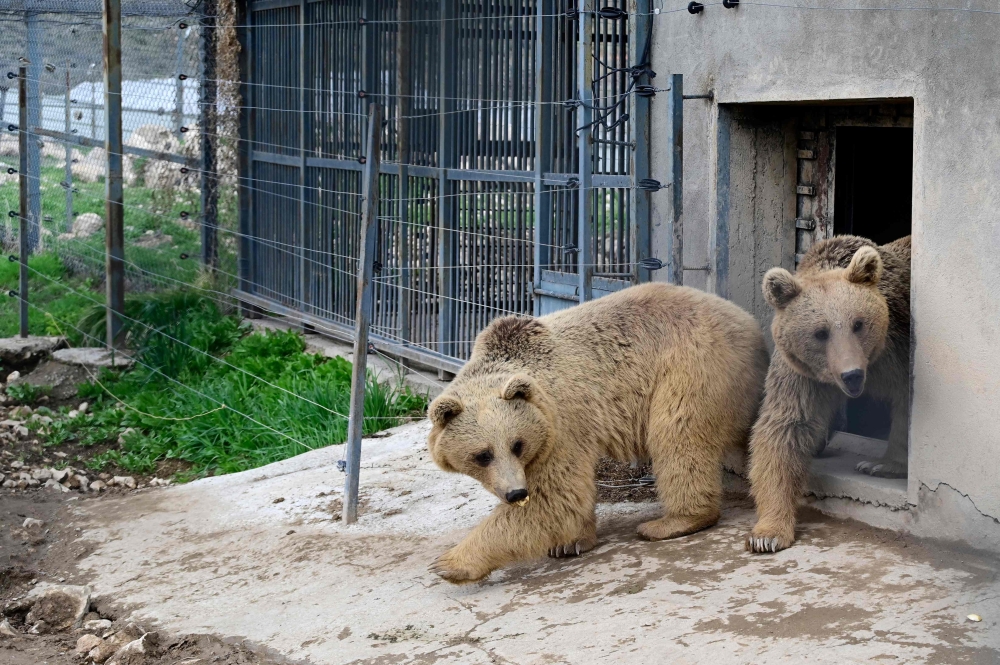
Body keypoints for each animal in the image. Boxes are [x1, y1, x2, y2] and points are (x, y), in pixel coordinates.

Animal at [426, 282, 770, 583]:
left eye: (517, 444)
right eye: (482, 455)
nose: (516, 493)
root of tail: (750, 324)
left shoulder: (562, 421)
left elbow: (555, 496)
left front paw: (448, 562)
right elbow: (568, 497)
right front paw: (571, 541)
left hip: (693, 366)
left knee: (677, 437)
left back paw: (671, 522)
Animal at [745, 234, 911, 554]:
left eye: (858, 323)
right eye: (820, 333)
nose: (852, 374)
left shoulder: (898, 347)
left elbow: (908, 408)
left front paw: (881, 464)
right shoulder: (801, 373)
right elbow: (785, 429)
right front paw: (767, 534)